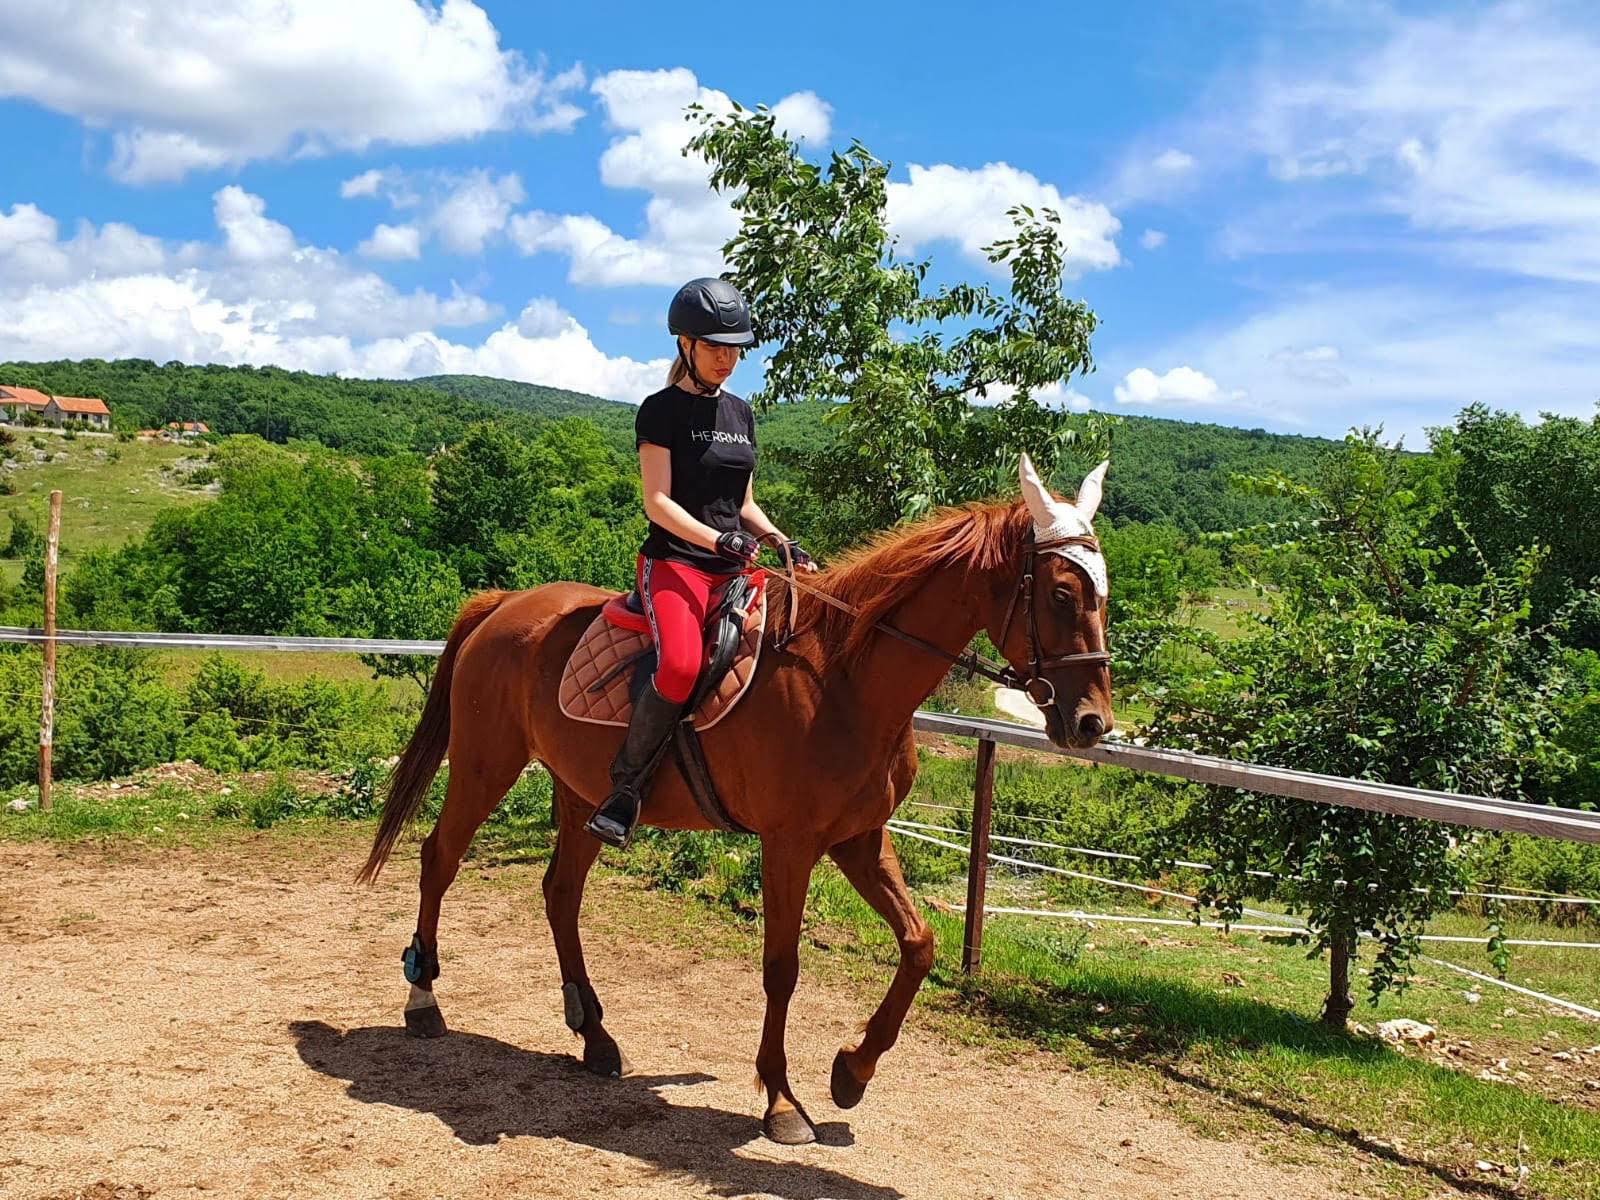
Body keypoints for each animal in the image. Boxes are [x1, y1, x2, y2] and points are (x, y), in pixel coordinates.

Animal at [358, 453, 1113, 1145]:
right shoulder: (790, 844)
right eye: (1062, 594)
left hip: (580, 791)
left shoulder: (858, 839)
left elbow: (919, 944)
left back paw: (595, 1037)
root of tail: (505, 604)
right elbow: (782, 968)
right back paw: (423, 1000)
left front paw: (851, 1071)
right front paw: (781, 1100)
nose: (1091, 724)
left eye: (1102, 595)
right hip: (486, 766)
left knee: (559, 893)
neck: (844, 679)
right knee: (439, 859)